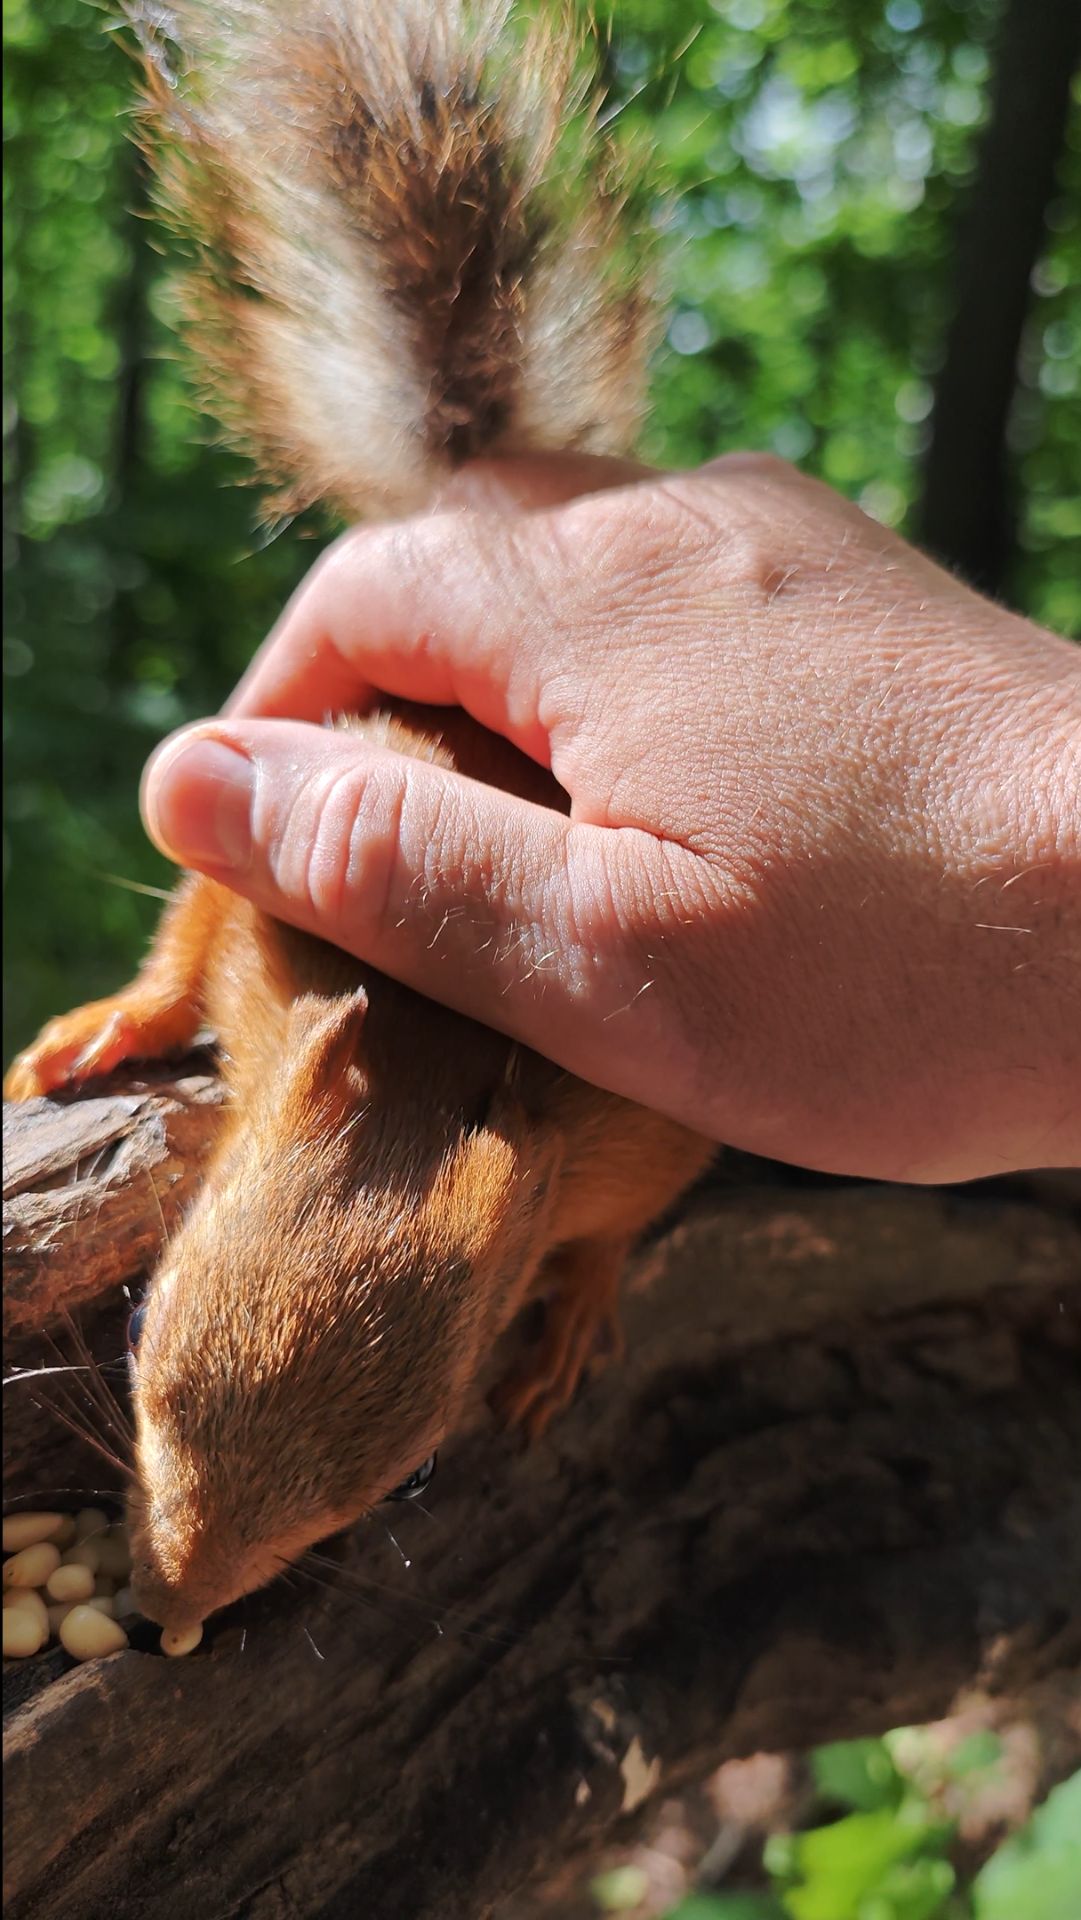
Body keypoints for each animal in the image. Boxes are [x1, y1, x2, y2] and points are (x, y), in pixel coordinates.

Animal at [4, 0, 716, 1640]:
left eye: (402, 1480)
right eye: (139, 1329)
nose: (165, 1610)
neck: (425, 1051)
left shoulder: (642, 1116)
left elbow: (618, 1226)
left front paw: (574, 1315)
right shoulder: (268, 859)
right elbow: (186, 930)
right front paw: (107, 1024)